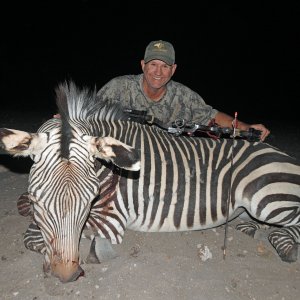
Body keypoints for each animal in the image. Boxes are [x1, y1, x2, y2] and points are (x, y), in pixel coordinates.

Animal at [0, 81, 298, 282]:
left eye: (90, 199)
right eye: (37, 199)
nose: (68, 275)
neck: (107, 167)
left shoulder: (111, 220)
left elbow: (38, 236)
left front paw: (96, 252)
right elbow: (30, 227)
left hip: (267, 198)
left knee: (287, 227)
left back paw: (286, 248)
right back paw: (251, 230)